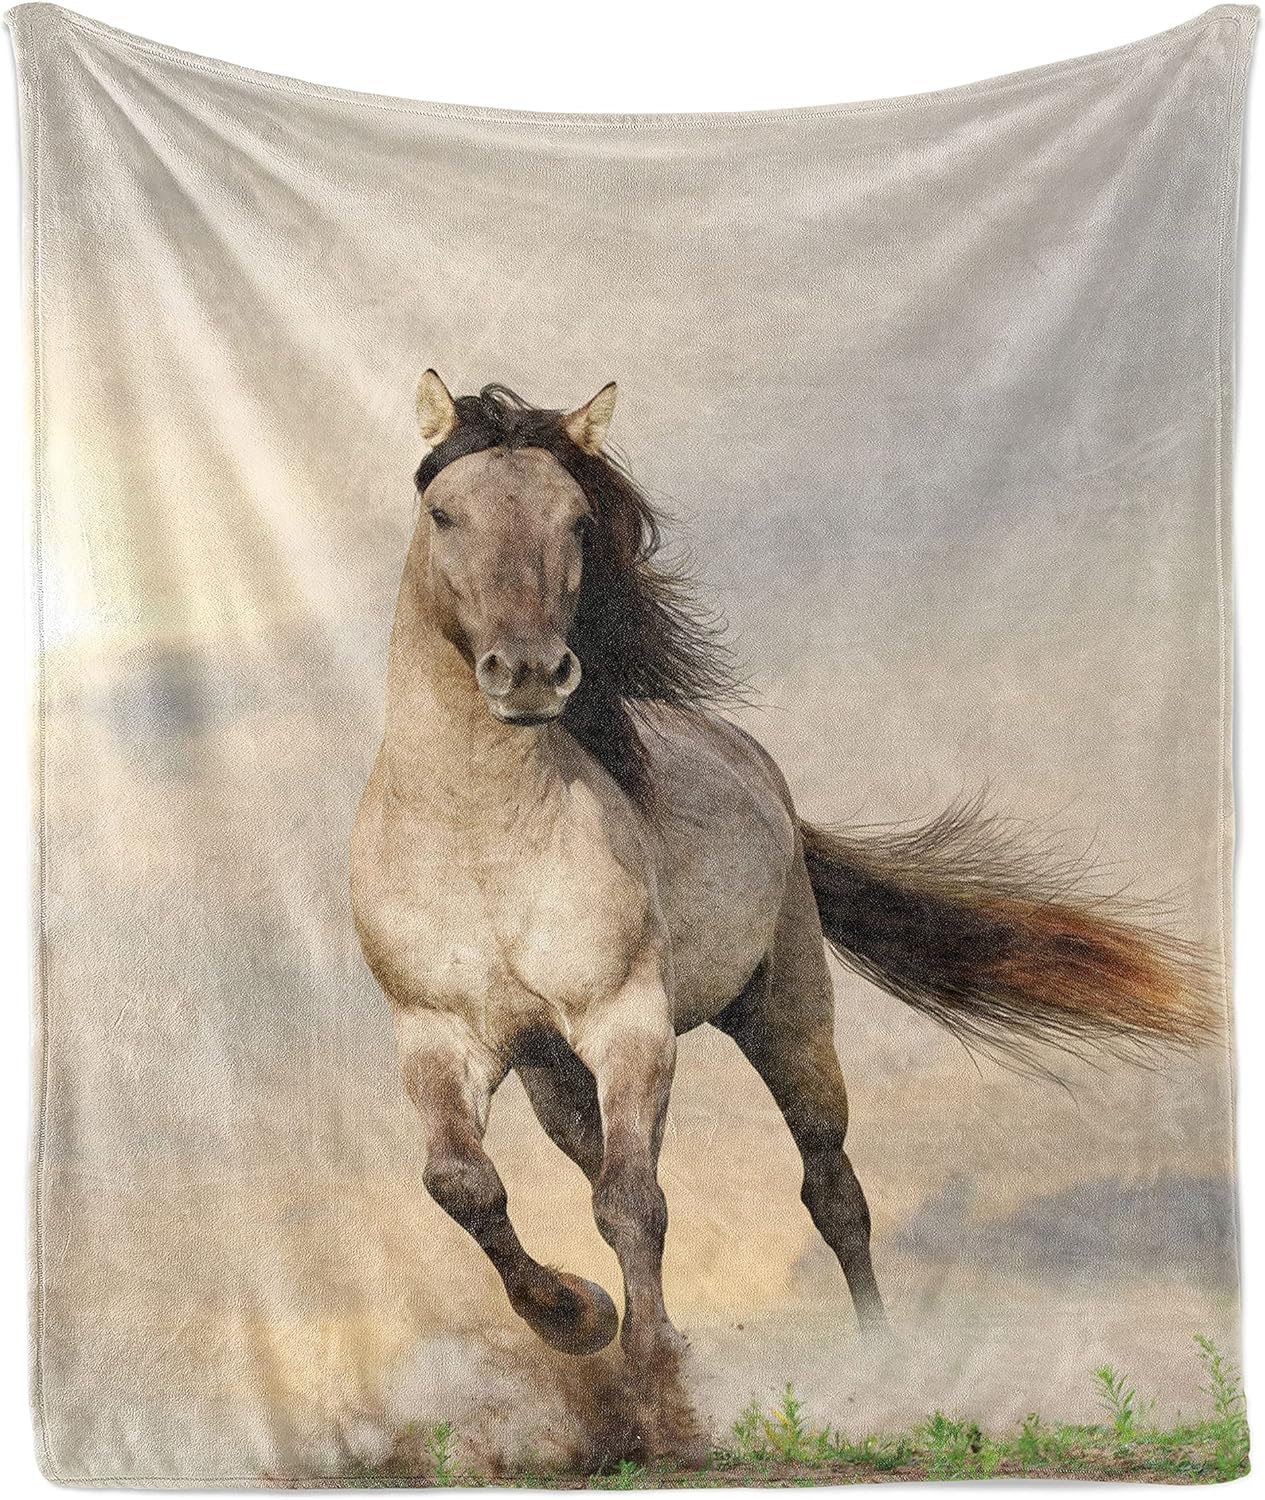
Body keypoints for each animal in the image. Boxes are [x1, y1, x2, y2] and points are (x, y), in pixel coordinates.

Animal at [350, 372, 1212, 1453]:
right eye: (444, 513)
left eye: (577, 521)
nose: (531, 673)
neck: (478, 836)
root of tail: (763, 775)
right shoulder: (437, 1035)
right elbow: (465, 1185)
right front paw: (579, 1318)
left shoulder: (628, 1023)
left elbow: (633, 1202)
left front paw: (660, 1395)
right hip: (554, 1074)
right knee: (596, 1165)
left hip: (785, 1014)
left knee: (828, 1191)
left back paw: (881, 1370)